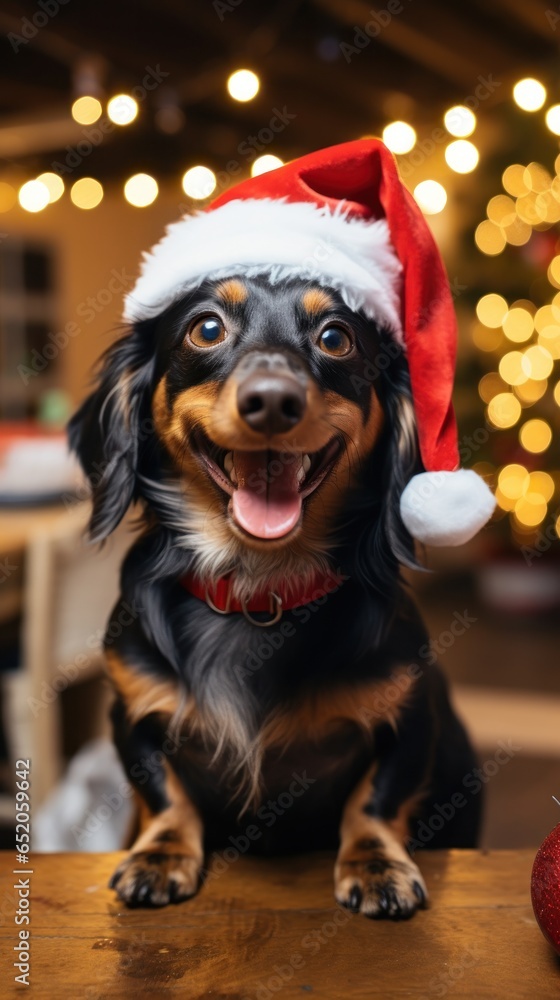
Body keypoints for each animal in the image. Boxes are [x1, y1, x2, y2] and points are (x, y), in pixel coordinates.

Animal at [70, 268, 482, 920]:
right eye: (206, 328)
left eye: (335, 337)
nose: (271, 400)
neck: (257, 589)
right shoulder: (131, 712)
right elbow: (165, 794)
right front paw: (160, 854)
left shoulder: (410, 716)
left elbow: (374, 799)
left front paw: (375, 865)